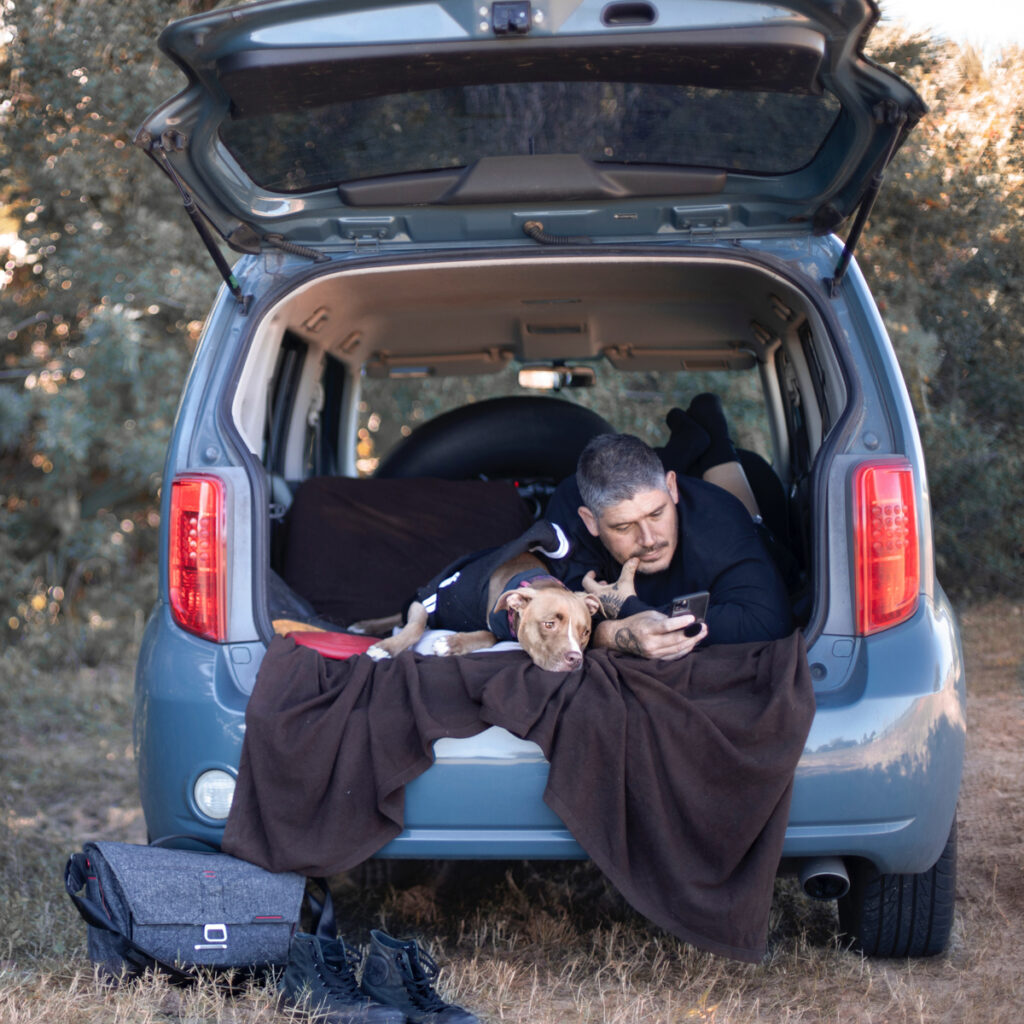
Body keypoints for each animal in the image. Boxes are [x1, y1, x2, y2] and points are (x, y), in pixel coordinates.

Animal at [364, 552, 598, 671]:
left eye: (585, 633)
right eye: (549, 624)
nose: (575, 659)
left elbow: (487, 635)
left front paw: (451, 643)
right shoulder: (427, 600)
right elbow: (415, 627)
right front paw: (385, 648)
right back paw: (365, 626)